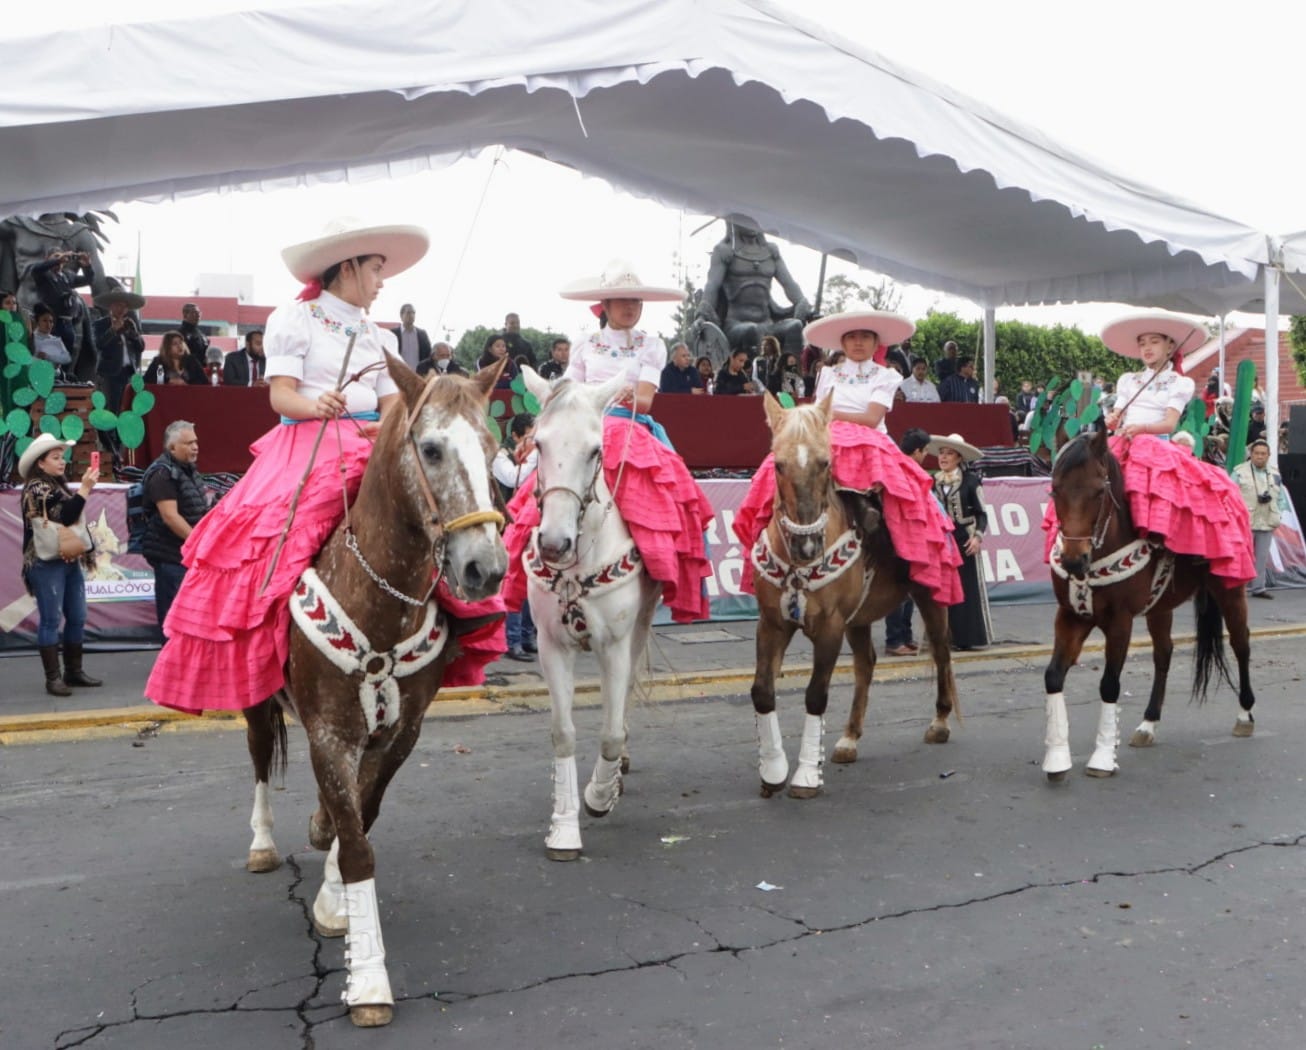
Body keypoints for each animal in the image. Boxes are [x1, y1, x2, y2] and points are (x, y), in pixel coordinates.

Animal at [240, 357, 504, 1023]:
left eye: (492, 448)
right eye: (430, 448)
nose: (485, 569)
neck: (381, 598)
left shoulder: (399, 734)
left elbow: (360, 814)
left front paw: (333, 894)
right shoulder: (330, 732)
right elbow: (357, 842)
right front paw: (369, 984)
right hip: (256, 704)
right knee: (259, 758)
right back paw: (261, 843)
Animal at [517, 368, 663, 861]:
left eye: (595, 450)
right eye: (539, 444)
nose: (553, 543)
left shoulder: (613, 645)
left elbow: (611, 732)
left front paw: (599, 795)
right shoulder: (550, 646)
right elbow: (563, 732)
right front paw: (563, 827)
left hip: (639, 626)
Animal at [747, 391, 961, 794]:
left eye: (825, 462)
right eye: (778, 465)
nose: (806, 545)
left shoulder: (829, 626)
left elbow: (816, 695)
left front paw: (805, 776)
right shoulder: (772, 623)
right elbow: (762, 692)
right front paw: (772, 770)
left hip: (931, 596)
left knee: (941, 651)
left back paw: (940, 723)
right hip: (858, 618)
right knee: (866, 663)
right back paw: (849, 738)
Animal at [1039, 425, 1253, 778]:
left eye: (1098, 492)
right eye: (1055, 490)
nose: (1072, 561)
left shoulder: (1119, 622)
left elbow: (1109, 685)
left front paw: (1102, 757)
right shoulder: (1071, 616)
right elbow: (1053, 676)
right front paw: (1057, 758)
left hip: (1230, 591)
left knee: (1241, 645)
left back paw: (1245, 715)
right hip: (1160, 607)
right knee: (1164, 653)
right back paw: (1148, 723)